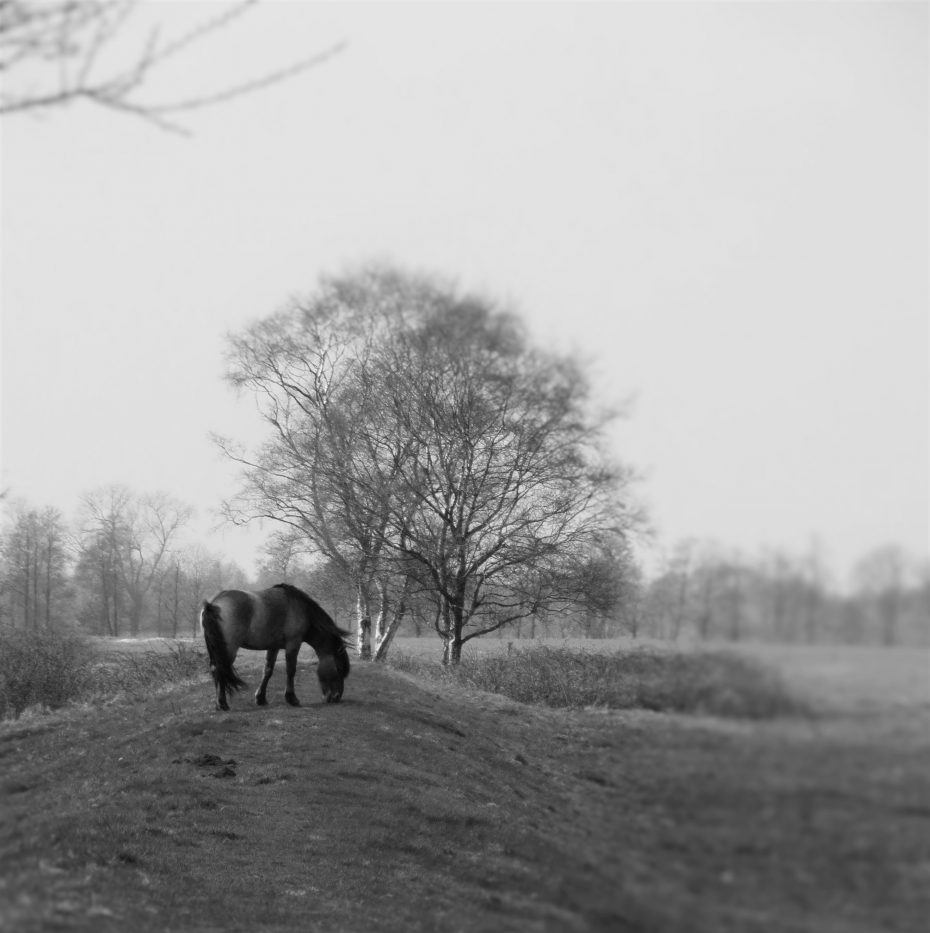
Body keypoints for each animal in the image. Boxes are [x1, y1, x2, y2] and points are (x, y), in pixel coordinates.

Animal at [200, 584, 352, 712]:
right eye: (339, 669)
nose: (336, 697)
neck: (301, 609)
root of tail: (213, 603)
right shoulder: (293, 644)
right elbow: (291, 670)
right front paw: (292, 698)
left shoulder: (273, 647)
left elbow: (267, 671)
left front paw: (260, 698)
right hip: (228, 650)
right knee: (220, 669)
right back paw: (222, 703)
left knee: (215, 669)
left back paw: (219, 703)